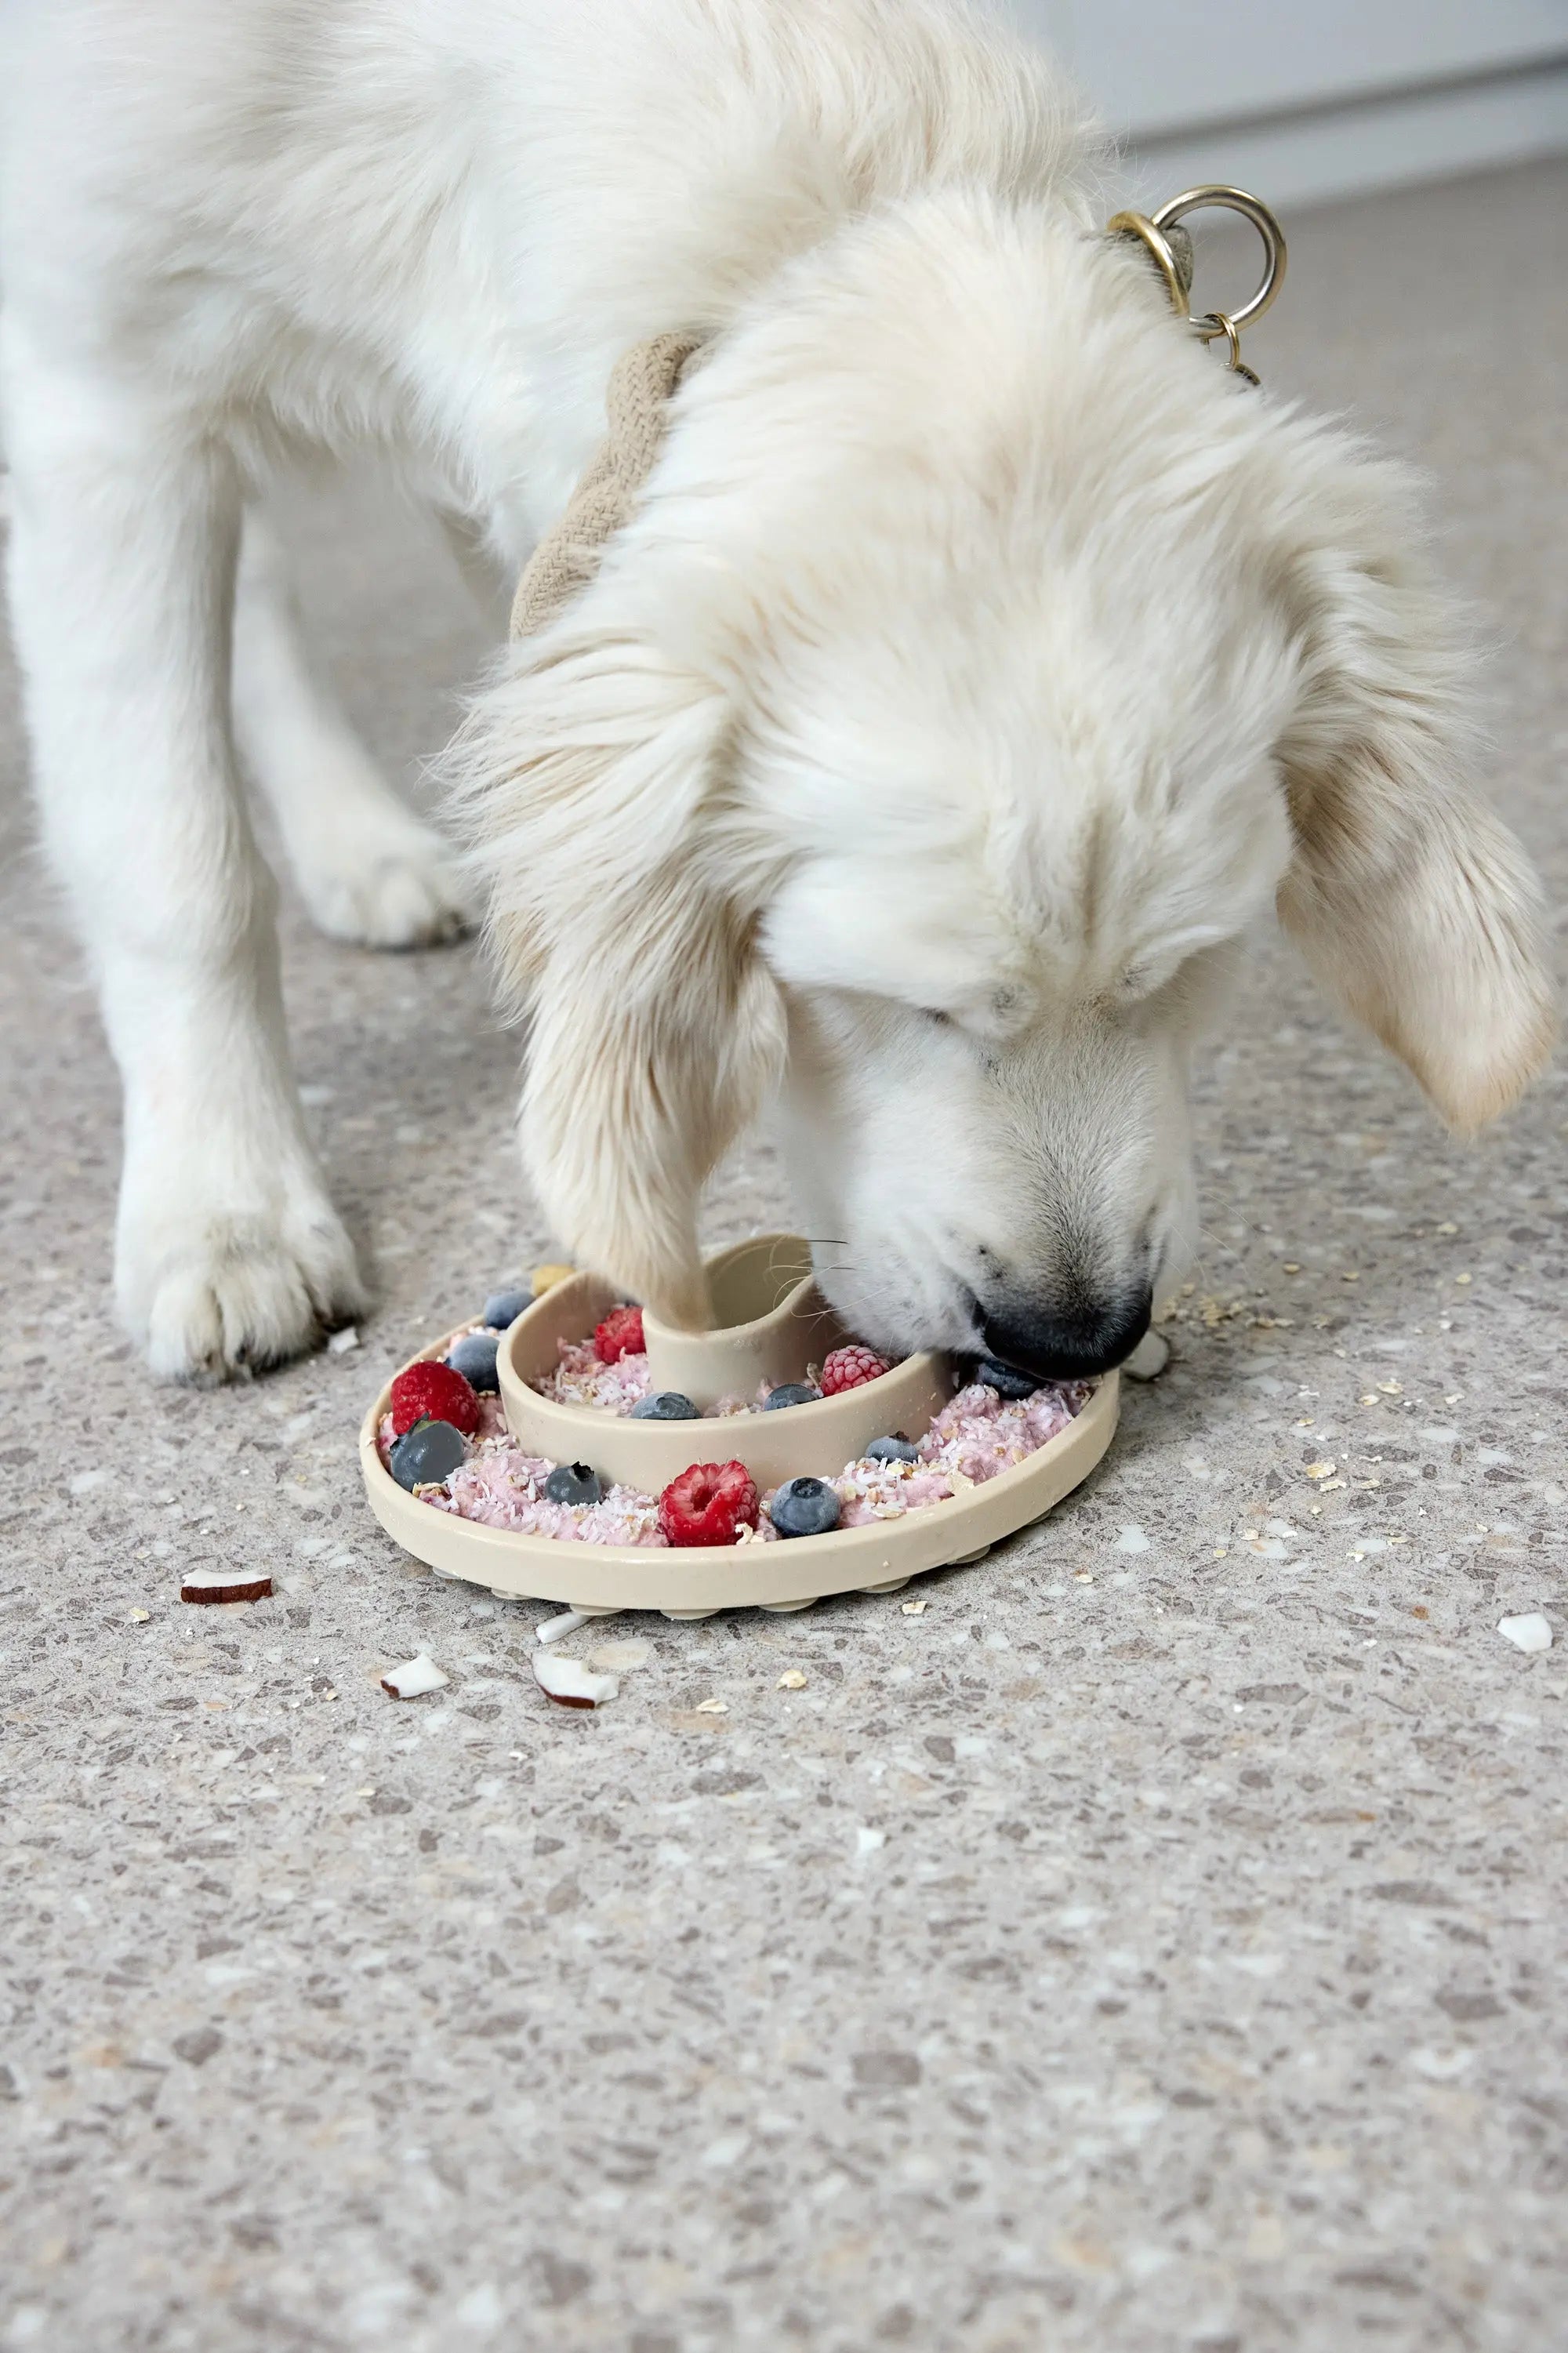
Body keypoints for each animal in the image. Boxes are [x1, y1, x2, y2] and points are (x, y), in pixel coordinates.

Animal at [0, 0, 1553, 1374]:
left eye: (1187, 971)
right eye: (894, 1002)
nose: (1074, 1339)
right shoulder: (100, 398)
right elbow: (178, 865)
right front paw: (224, 1212)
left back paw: (363, 846)